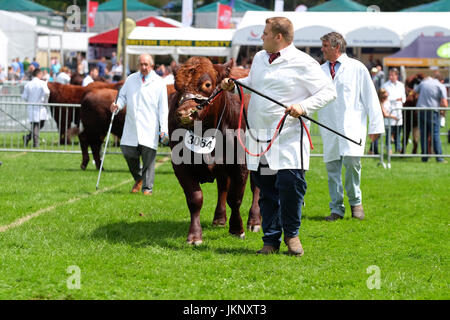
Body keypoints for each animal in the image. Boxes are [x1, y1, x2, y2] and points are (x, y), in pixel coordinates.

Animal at [168, 57, 260, 245]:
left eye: (207, 84)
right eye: (176, 85)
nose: (185, 113)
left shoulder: (241, 163)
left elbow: (235, 197)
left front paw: (237, 228)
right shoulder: (180, 164)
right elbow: (195, 199)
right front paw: (194, 236)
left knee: (256, 188)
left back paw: (254, 221)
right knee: (222, 186)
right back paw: (219, 219)